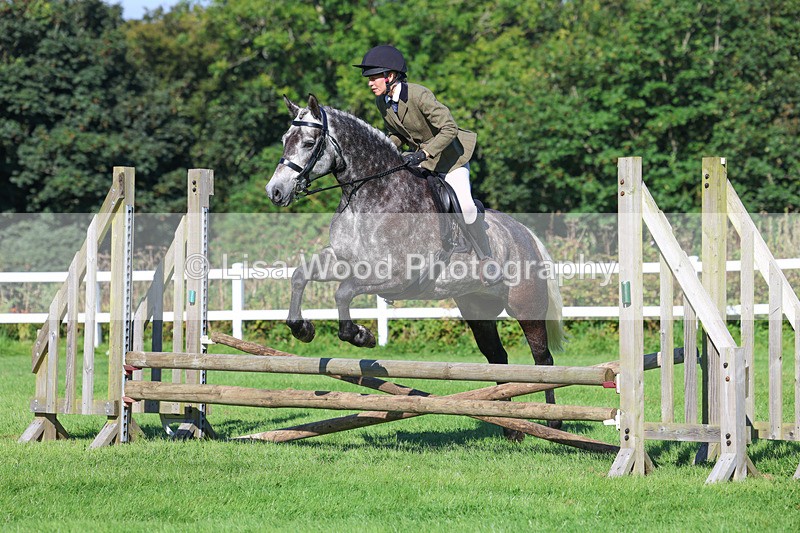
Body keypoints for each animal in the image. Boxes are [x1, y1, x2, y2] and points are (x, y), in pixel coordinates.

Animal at [266, 94, 565, 436]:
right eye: (284, 140)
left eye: (308, 142)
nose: (275, 192)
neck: (372, 195)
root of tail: (525, 232)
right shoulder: (344, 260)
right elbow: (300, 276)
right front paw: (302, 328)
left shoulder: (397, 276)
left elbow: (343, 292)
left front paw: (360, 335)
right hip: (477, 308)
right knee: (497, 357)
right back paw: (511, 428)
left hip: (526, 305)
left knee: (542, 359)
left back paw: (553, 420)